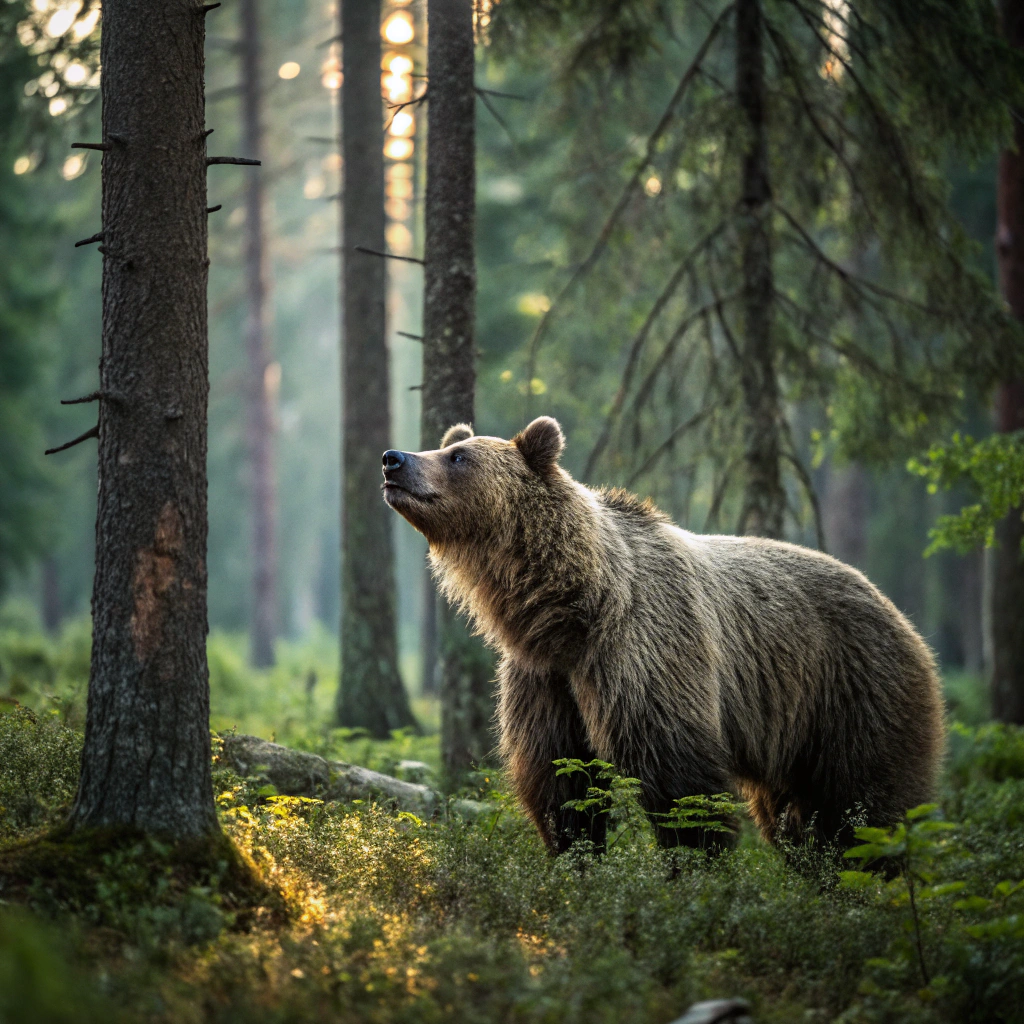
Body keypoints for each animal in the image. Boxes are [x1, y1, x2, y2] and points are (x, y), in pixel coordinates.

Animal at [382, 416, 945, 855]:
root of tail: (900, 614)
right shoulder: (545, 679)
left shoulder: (646, 649)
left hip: (852, 691)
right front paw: (575, 859)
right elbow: (561, 783)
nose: (393, 459)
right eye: (444, 446)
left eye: (457, 456)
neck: (570, 609)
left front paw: (693, 867)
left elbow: (680, 783)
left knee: (863, 806)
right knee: (796, 818)